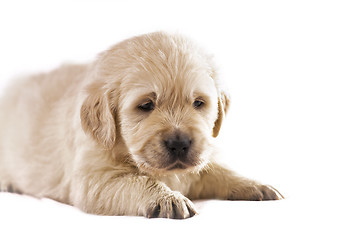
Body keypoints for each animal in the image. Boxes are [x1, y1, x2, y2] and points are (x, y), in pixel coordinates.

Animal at [0, 32, 282, 219]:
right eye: (146, 105)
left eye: (198, 103)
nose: (180, 143)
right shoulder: (94, 180)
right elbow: (138, 182)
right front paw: (167, 198)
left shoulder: (199, 163)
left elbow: (221, 171)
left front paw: (254, 184)